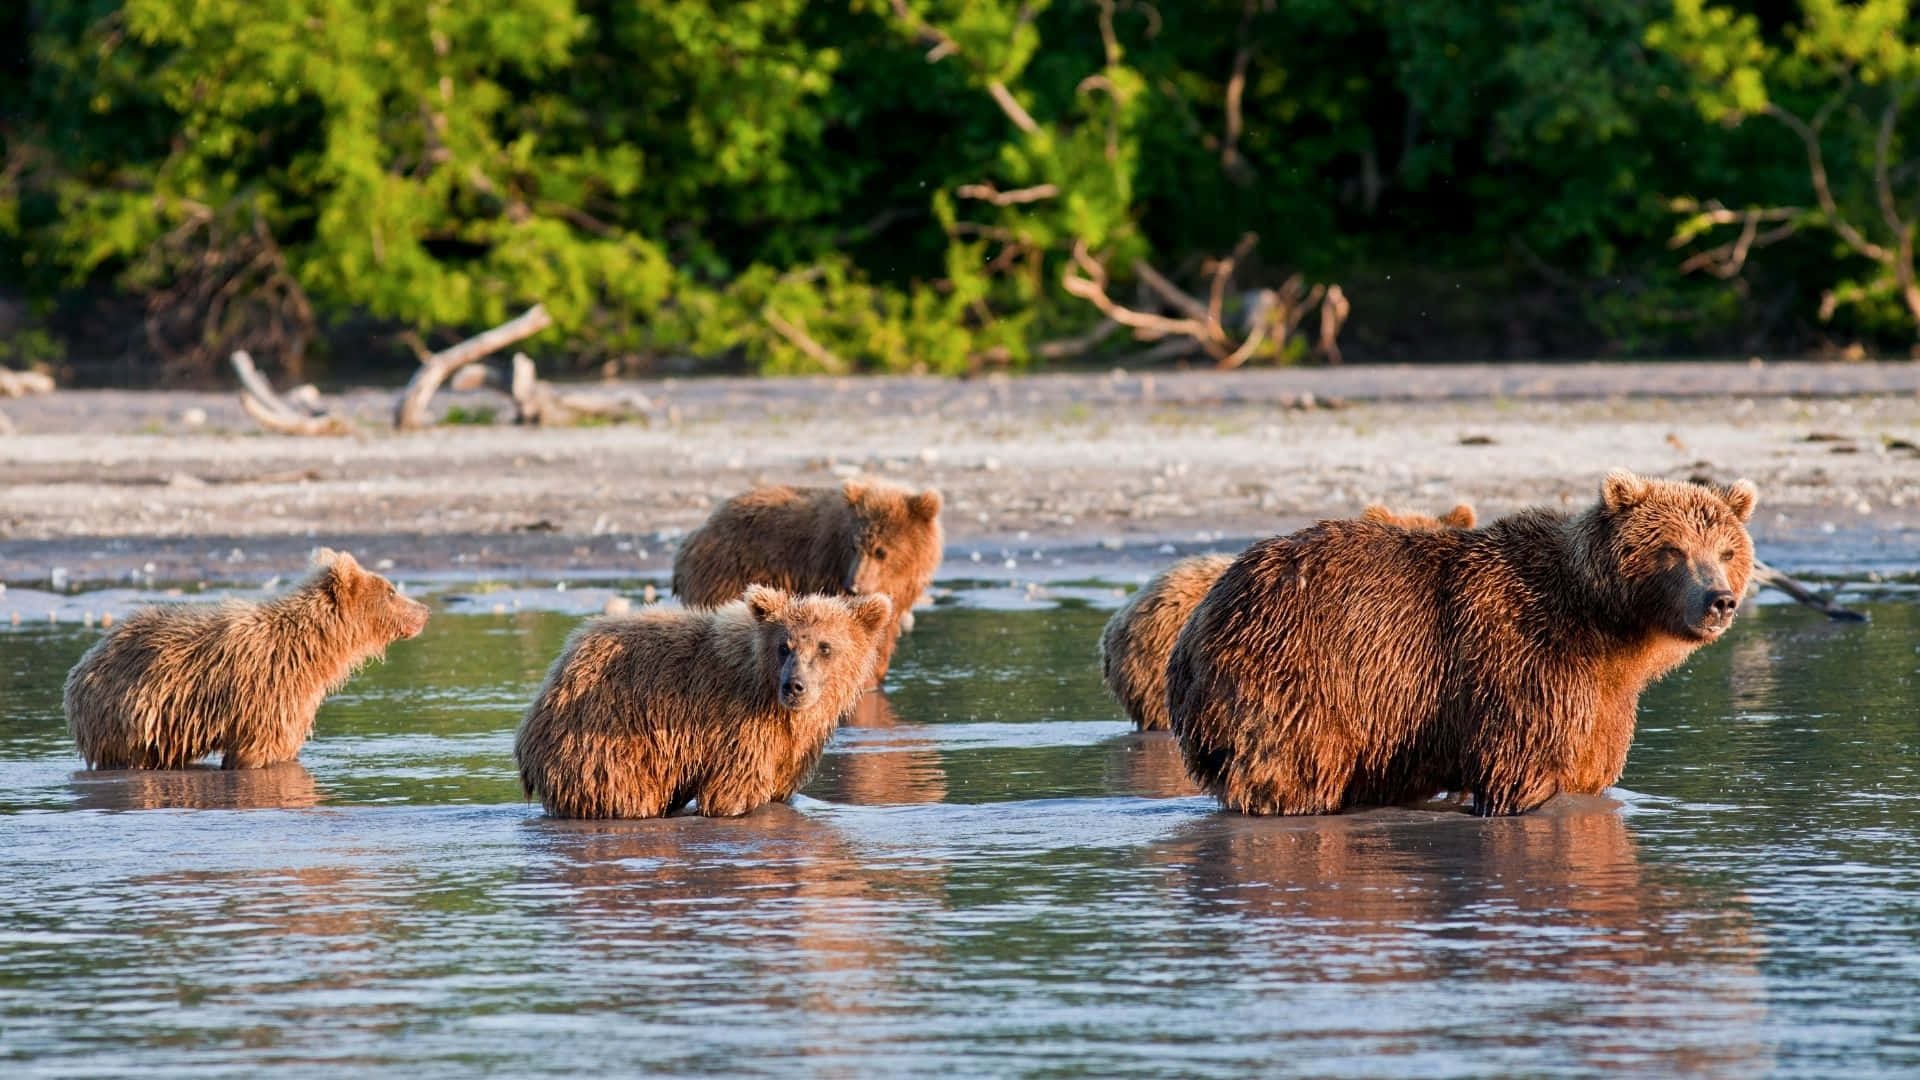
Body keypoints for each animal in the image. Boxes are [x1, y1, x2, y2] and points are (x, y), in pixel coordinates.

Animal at [65, 548, 429, 770]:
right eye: (392, 591)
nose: (425, 610)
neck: (313, 651)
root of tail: (82, 666)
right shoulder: (268, 690)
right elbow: (259, 750)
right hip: (132, 716)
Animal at [514, 585, 892, 819]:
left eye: (825, 646)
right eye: (784, 646)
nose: (794, 686)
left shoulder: (790, 748)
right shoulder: (737, 727)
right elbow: (733, 794)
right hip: (605, 740)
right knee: (627, 794)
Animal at [1165, 470, 1756, 817]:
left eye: (1727, 550)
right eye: (1673, 548)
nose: (1719, 600)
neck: (1605, 627)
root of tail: (1200, 619)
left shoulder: (1601, 701)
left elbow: (1589, 770)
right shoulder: (1524, 664)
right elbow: (1522, 773)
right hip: (1301, 675)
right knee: (1292, 771)